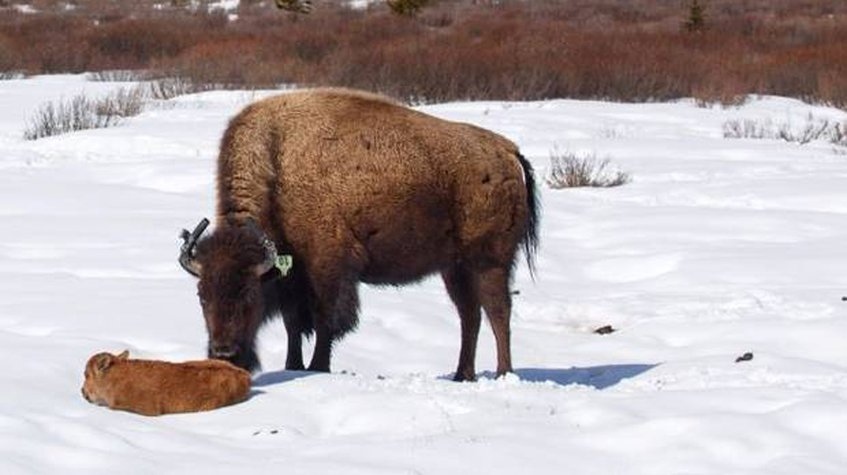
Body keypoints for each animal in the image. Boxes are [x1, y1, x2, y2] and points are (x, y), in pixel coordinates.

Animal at [179, 87, 540, 382]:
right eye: (201, 295)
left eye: (249, 294)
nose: (224, 353)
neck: (277, 166)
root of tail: (508, 152)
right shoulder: (292, 275)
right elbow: (293, 324)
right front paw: (293, 366)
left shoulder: (328, 266)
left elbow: (326, 321)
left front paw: (317, 368)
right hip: (454, 267)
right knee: (470, 315)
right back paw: (462, 375)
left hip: (489, 261)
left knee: (497, 311)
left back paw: (503, 373)